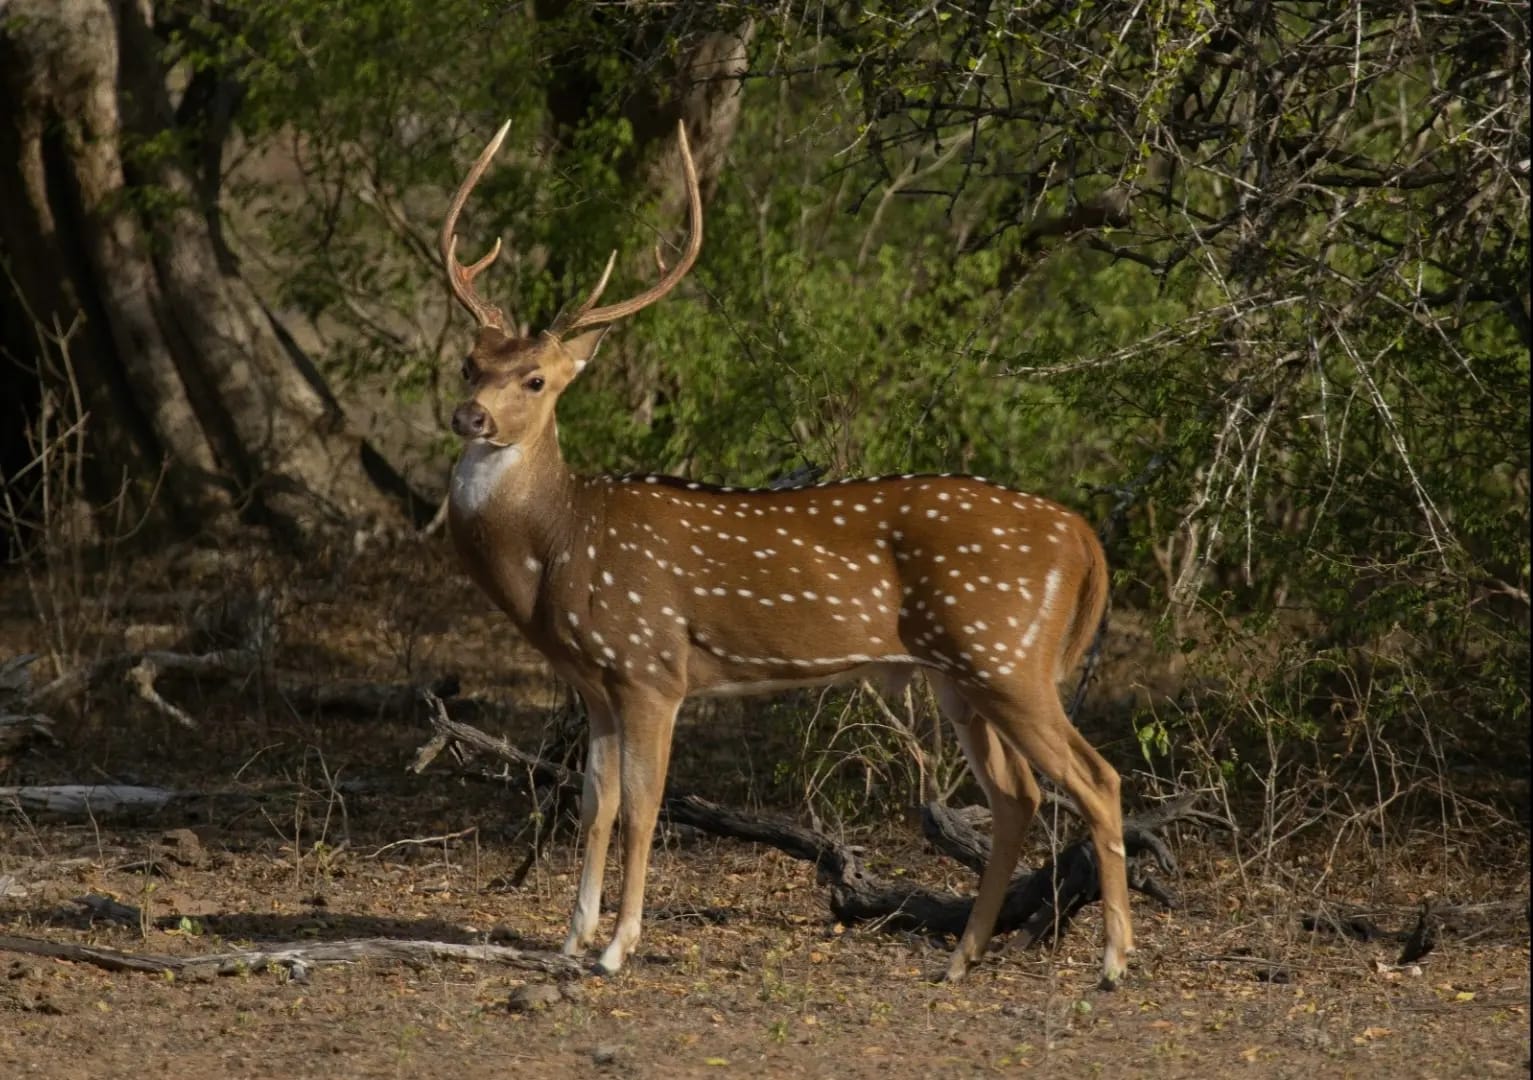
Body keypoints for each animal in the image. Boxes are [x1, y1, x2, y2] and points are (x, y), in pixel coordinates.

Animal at [439, 119, 1134, 989]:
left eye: (535, 380)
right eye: (470, 364)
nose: (469, 416)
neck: (560, 548)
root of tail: (1081, 535)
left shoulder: (651, 664)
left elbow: (644, 808)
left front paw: (615, 947)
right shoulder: (594, 681)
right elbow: (593, 803)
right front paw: (569, 938)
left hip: (1007, 656)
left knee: (1098, 780)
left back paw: (1112, 962)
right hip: (961, 674)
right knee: (1018, 797)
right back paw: (959, 960)